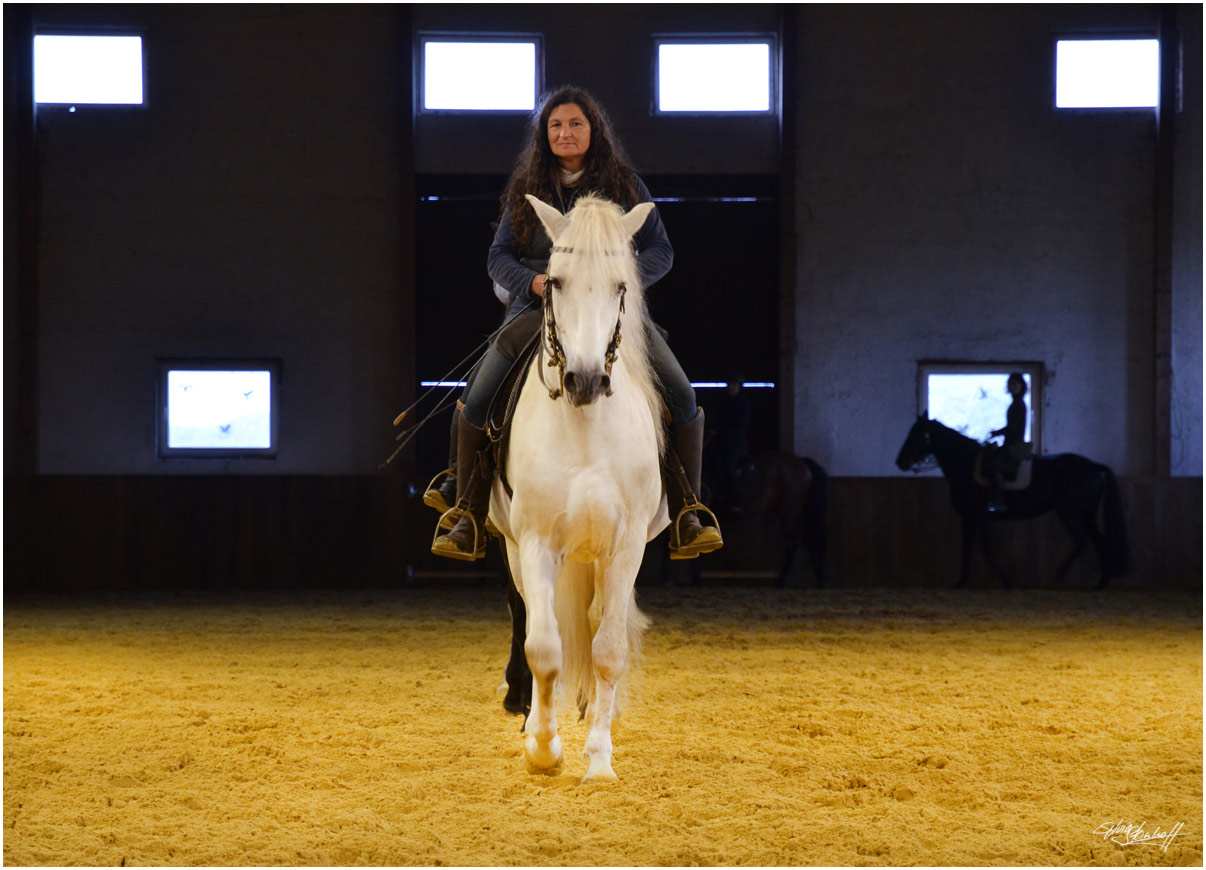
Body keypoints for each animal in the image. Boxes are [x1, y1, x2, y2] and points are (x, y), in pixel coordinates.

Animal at [487, 191, 670, 781]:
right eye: (557, 281)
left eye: (620, 286)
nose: (585, 381)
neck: (587, 429)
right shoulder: (537, 542)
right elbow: (545, 649)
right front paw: (544, 748)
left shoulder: (626, 547)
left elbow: (606, 649)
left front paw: (599, 760)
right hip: (516, 548)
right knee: (531, 619)